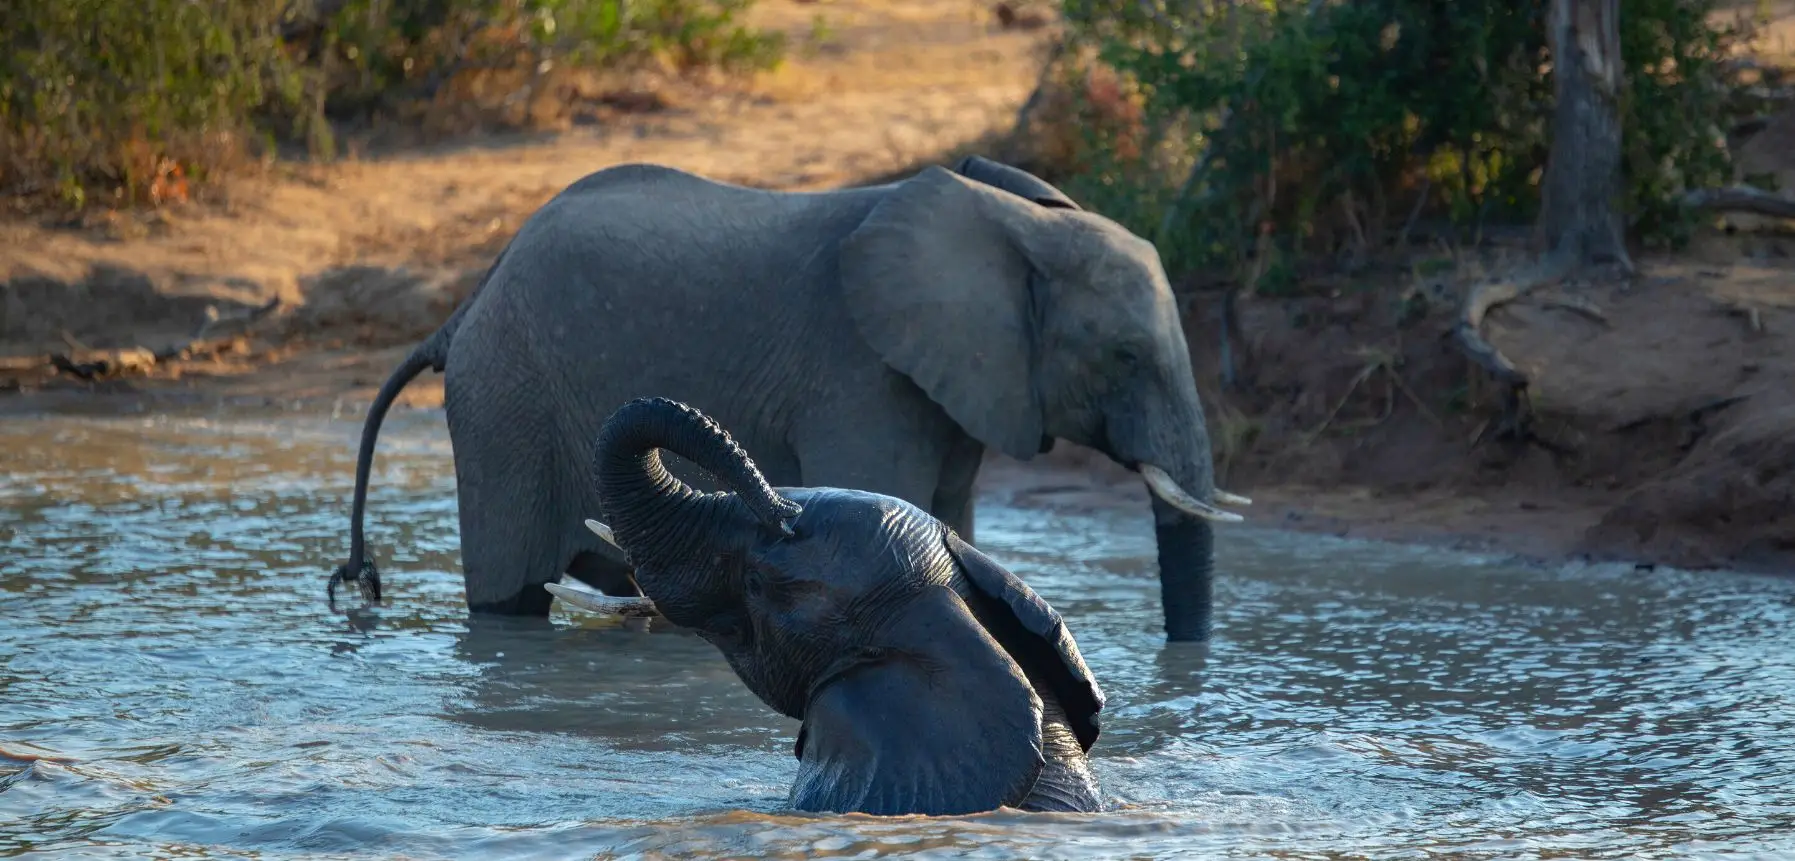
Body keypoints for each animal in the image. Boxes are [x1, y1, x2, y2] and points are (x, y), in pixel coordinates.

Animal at [326, 154, 1249, 638]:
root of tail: (466, 305)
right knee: (511, 595)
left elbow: (948, 521)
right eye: (1124, 354)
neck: (1014, 224)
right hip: (505, 402)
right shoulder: (860, 374)